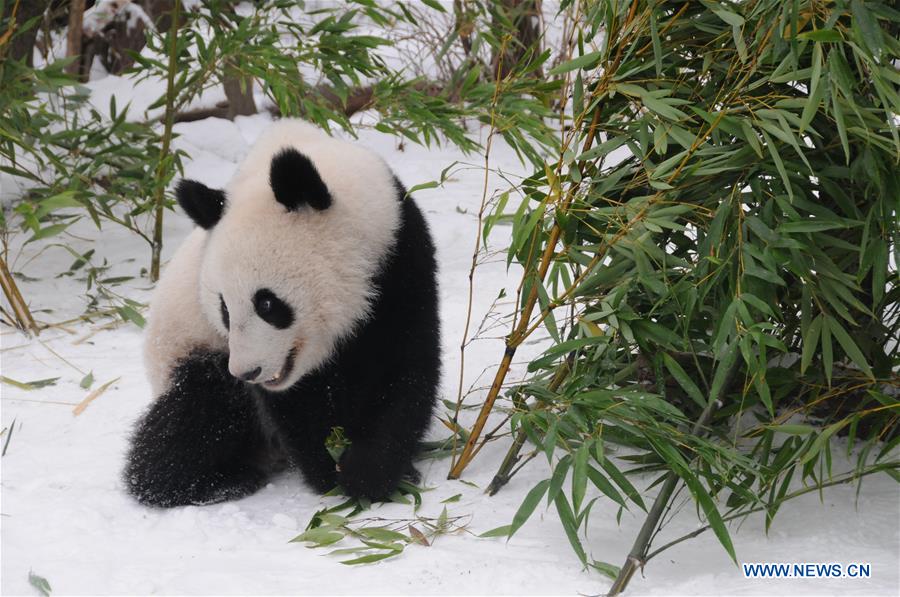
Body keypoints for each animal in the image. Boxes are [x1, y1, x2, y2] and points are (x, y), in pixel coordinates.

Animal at [123, 118, 440, 506]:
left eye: (267, 303)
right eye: (224, 308)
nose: (248, 372)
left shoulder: (399, 261)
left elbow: (403, 370)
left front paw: (371, 473)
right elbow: (297, 407)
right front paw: (330, 471)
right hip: (188, 349)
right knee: (197, 418)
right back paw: (218, 481)